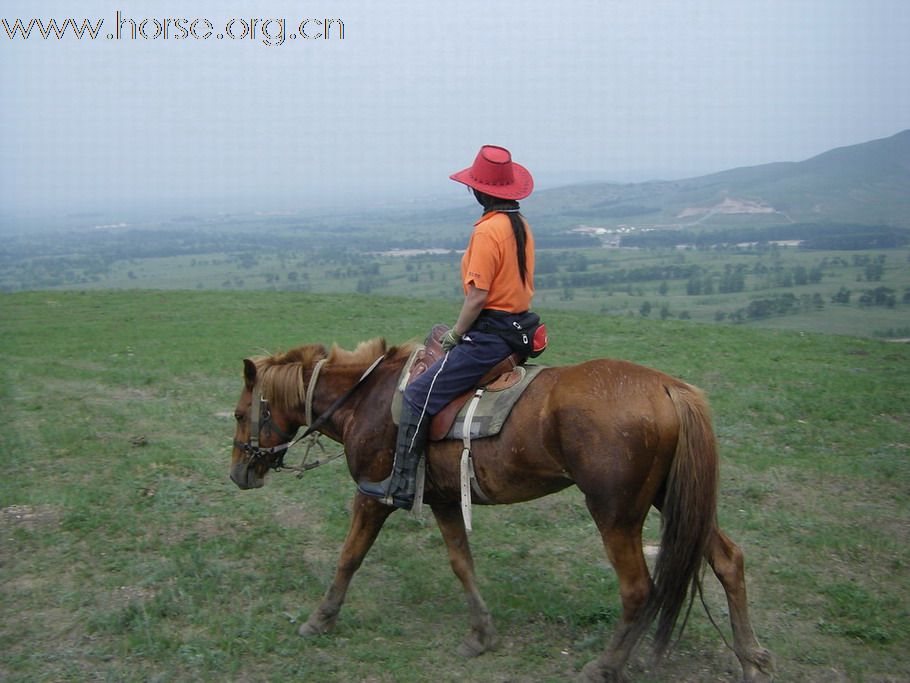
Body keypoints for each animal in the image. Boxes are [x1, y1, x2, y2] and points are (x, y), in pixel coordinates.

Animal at [230, 340, 776, 680]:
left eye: (238, 414)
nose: (239, 473)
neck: (367, 400)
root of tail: (667, 387)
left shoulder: (373, 494)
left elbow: (349, 557)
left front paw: (320, 619)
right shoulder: (445, 499)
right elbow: (462, 563)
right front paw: (482, 634)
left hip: (615, 512)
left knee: (639, 590)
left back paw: (605, 666)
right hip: (674, 497)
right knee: (727, 560)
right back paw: (751, 658)